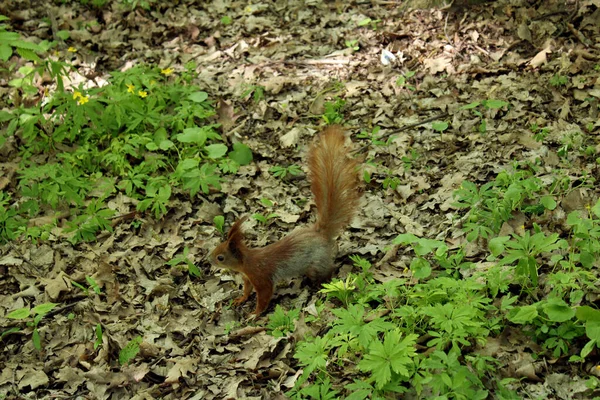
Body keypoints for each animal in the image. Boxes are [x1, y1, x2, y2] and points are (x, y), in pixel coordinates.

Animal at [211, 126, 360, 316]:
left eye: (221, 257)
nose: (209, 260)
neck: (246, 262)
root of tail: (320, 234)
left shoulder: (260, 277)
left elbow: (264, 295)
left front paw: (254, 314)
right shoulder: (248, 278)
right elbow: (246, 290)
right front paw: (241, 299)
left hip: (317, 264)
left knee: (328, 270)